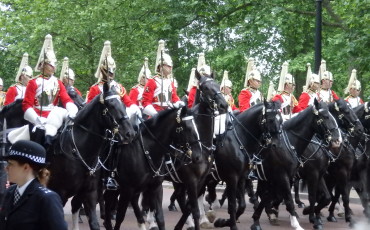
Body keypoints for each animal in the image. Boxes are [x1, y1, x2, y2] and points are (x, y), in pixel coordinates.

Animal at [46, 82, 136, 230]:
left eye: (123, 105)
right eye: (111, 105)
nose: (130, 133)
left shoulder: (88, 191)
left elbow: (93, 221)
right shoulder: (60, 192)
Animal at [250, 100, 342, 230]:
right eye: (326, 116)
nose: (337, 140)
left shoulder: (319, 174)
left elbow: (326, 197)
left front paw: (311, 214)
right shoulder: (303, 174)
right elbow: (306, 197)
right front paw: (307, 219)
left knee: (265, 194)